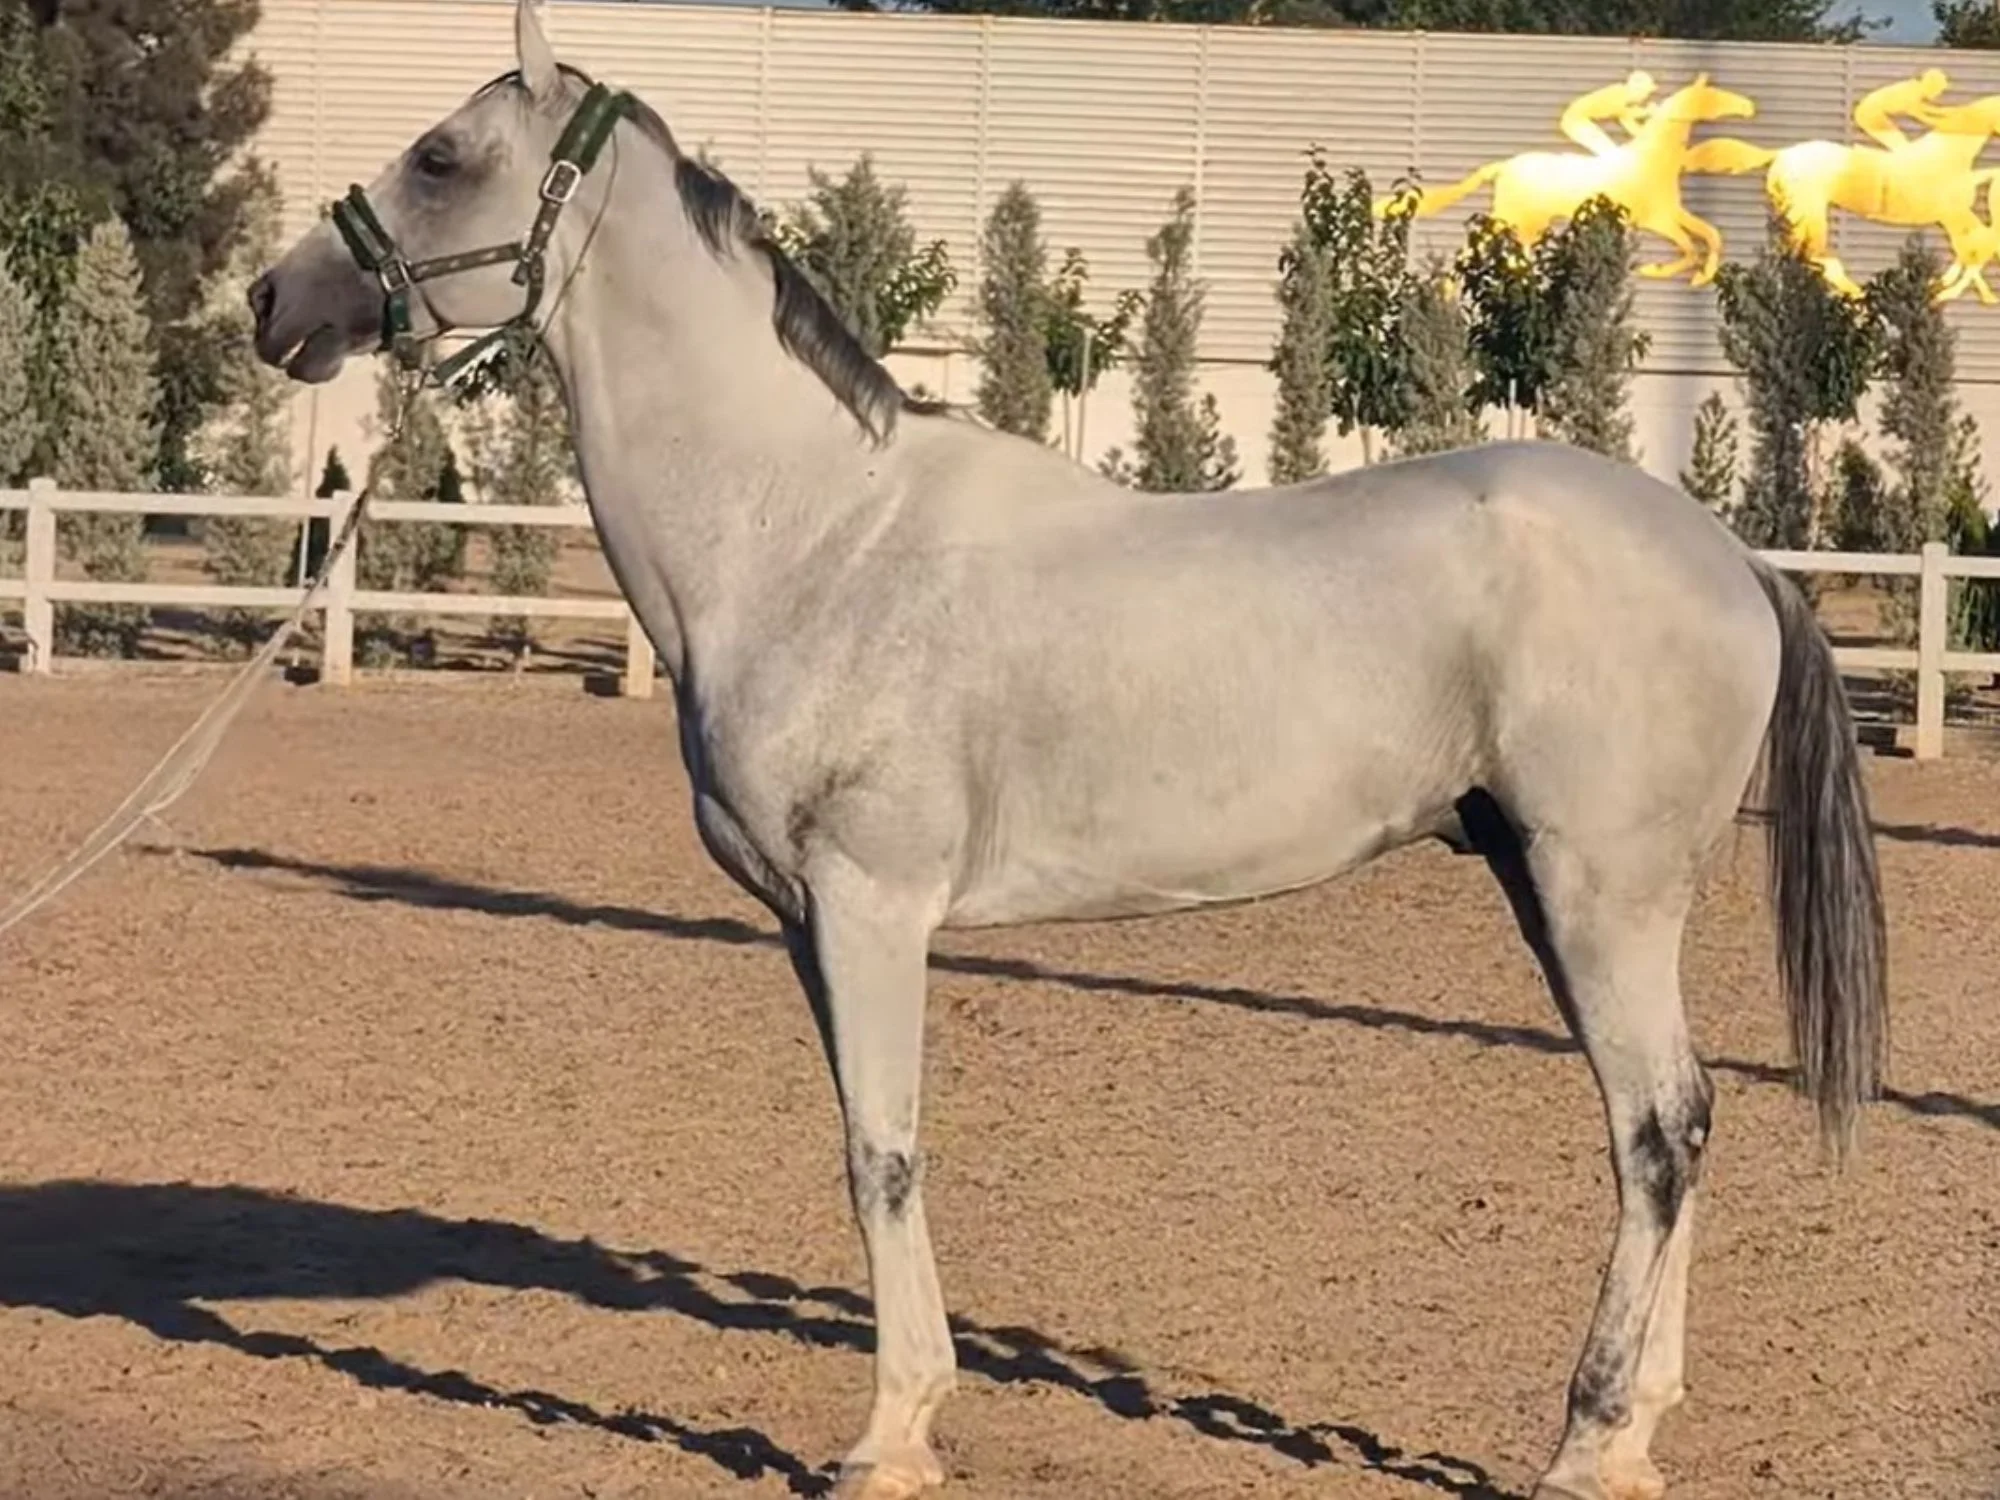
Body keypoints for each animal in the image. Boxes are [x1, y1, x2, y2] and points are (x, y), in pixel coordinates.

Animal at [1388, 74, 1760, 286]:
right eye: (1713, 95)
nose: (1749, 106)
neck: (1654, 158)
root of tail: (1503, 166)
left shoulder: (1673, 213)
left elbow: (1711, 237)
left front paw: (1699, 278)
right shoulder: (1656, 220)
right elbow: (1689, 248)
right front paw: (1653, 270)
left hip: (1528, 226)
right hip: (1508, 219)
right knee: (1470, 254)